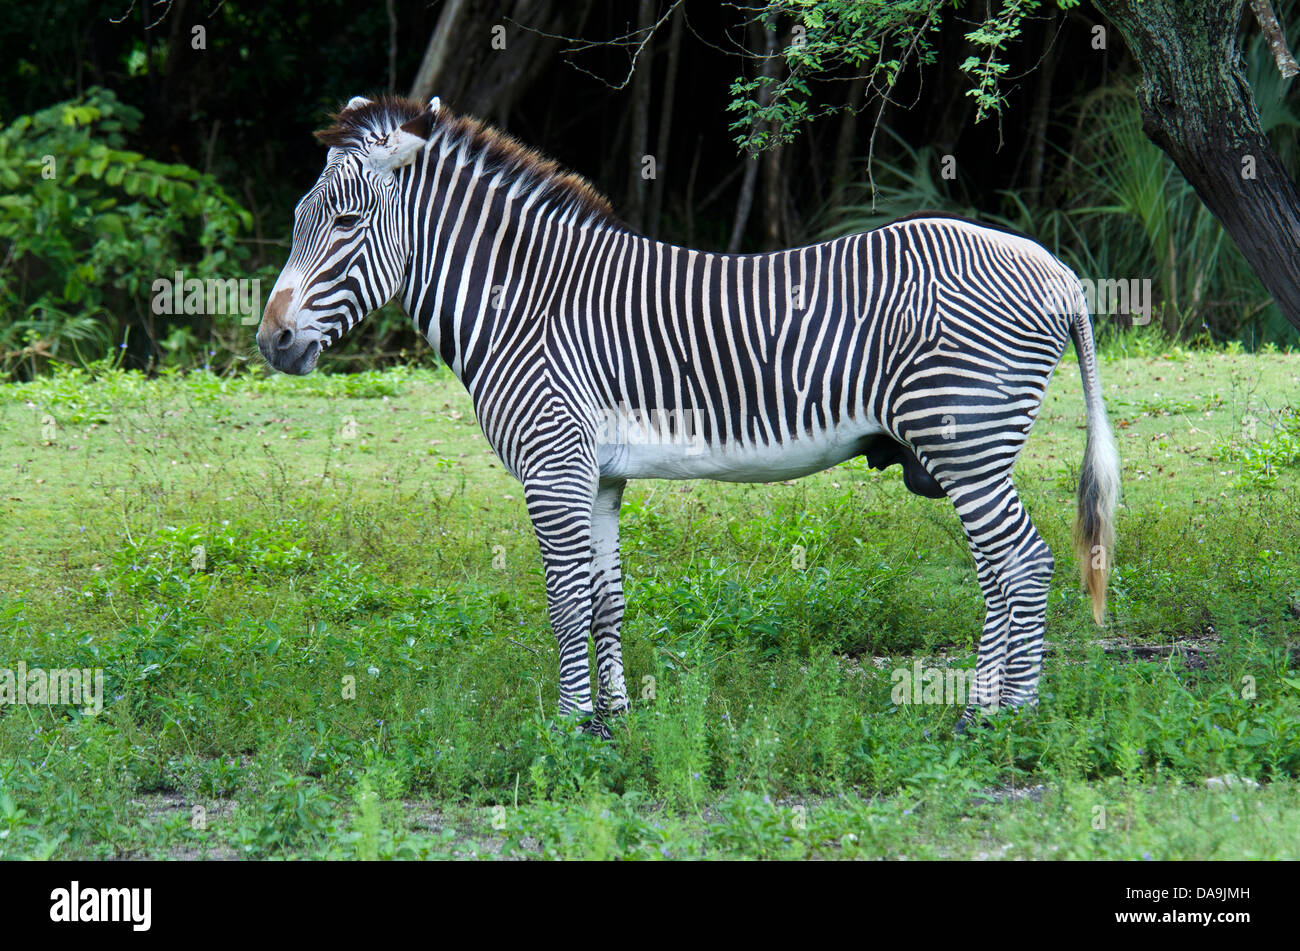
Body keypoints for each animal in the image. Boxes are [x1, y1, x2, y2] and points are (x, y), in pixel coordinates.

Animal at [253, 96, 1118, 737]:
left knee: (1022, 562)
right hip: (969, 448)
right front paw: (615, 719)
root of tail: (1058, 272)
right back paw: (989, 707)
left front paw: (570, 727)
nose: (271, 340)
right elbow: (604, 597)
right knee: (1001, 569)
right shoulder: (598, 475)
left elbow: (562, 595)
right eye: (299, 219)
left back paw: (1001, 717)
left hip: (964, 437)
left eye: (344, 225)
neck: (522, 303)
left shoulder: (551, 464)